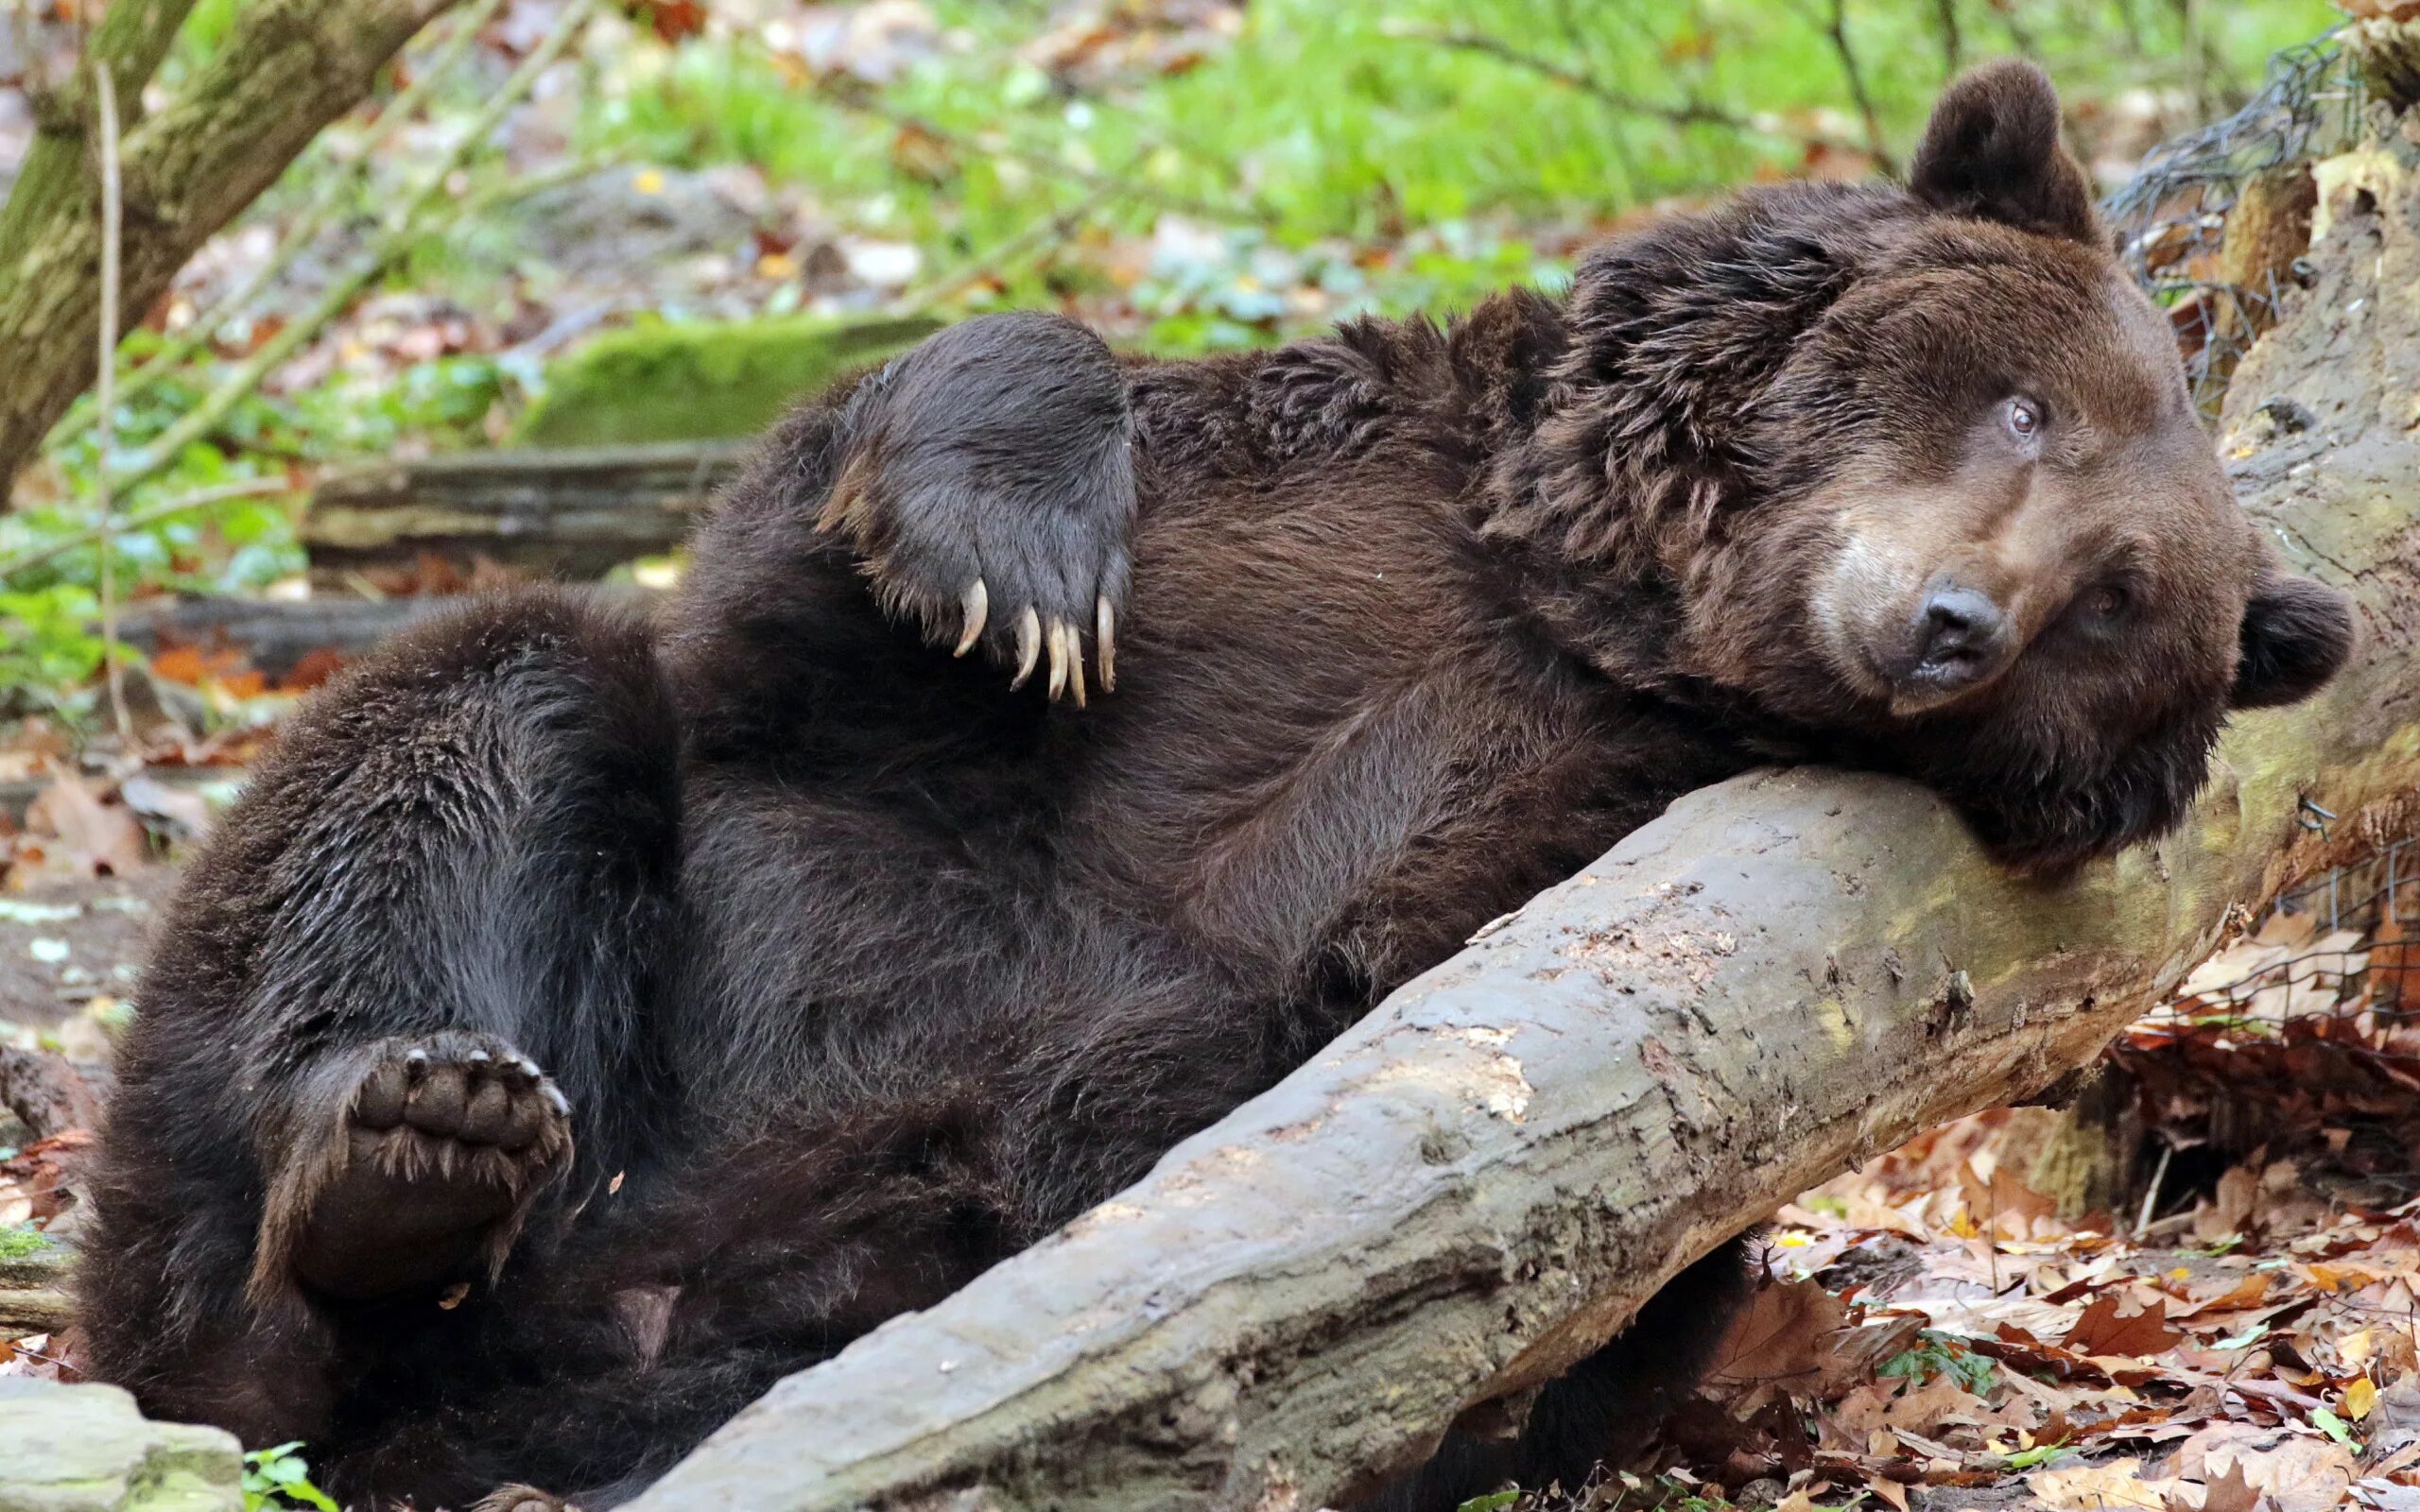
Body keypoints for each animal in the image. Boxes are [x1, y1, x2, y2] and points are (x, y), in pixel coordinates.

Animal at [85, 59, 2352, 1509]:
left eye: (2117, 595)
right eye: (2019, 401)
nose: (1951, 619)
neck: (1602, 604)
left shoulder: (1569, 818)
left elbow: (1391, 1004)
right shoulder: (1283, 531)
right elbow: (836, 597)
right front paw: (1012, 558)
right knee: (490, 718)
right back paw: (403, 1138)